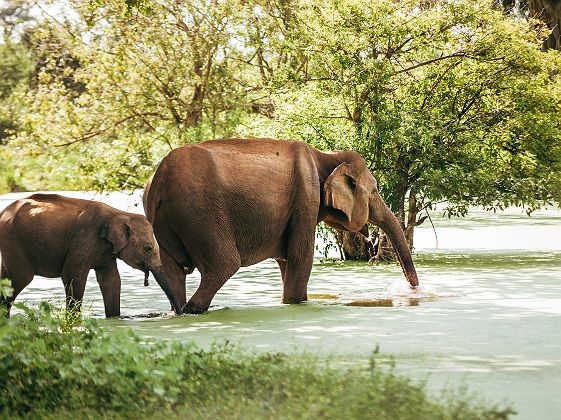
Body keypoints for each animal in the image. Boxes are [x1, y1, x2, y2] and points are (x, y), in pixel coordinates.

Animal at [0, 195, 182, 316]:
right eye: (148, 249)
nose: (178, 313)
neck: (119, 213)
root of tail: (3, 212)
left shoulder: (106, 251)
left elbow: (111, 280)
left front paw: (114, 319)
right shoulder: (83, 238)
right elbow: (73, 275)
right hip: (13, 241)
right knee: (19, 278)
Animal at [144, 136, 416, 314]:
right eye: (374, 192)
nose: (412, 289)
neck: (326, 155)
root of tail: (160, 178)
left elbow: (286, 260)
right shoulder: (306, 198)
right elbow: (300, 257)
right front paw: (294, 304)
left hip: (165, 220)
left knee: (172, 269)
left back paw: (179, 310)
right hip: (202, 214)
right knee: (224, 264)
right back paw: (194, 309)